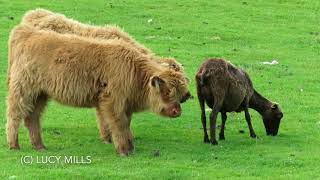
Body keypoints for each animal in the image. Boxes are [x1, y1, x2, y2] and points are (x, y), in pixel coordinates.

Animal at [6, 24, 190, 155]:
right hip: (23, 91)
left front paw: (130, 146)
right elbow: (119, 124)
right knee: (14, 115)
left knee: (32, 118)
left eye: (180, 93)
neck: (135, 70)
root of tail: (25, 32)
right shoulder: (112, 102)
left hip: (40, 95)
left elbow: (125, 124)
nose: (177, 111)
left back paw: (39, 146)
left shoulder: (124, 105)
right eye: (167, 92)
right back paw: (14, 145)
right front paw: (124, 150)